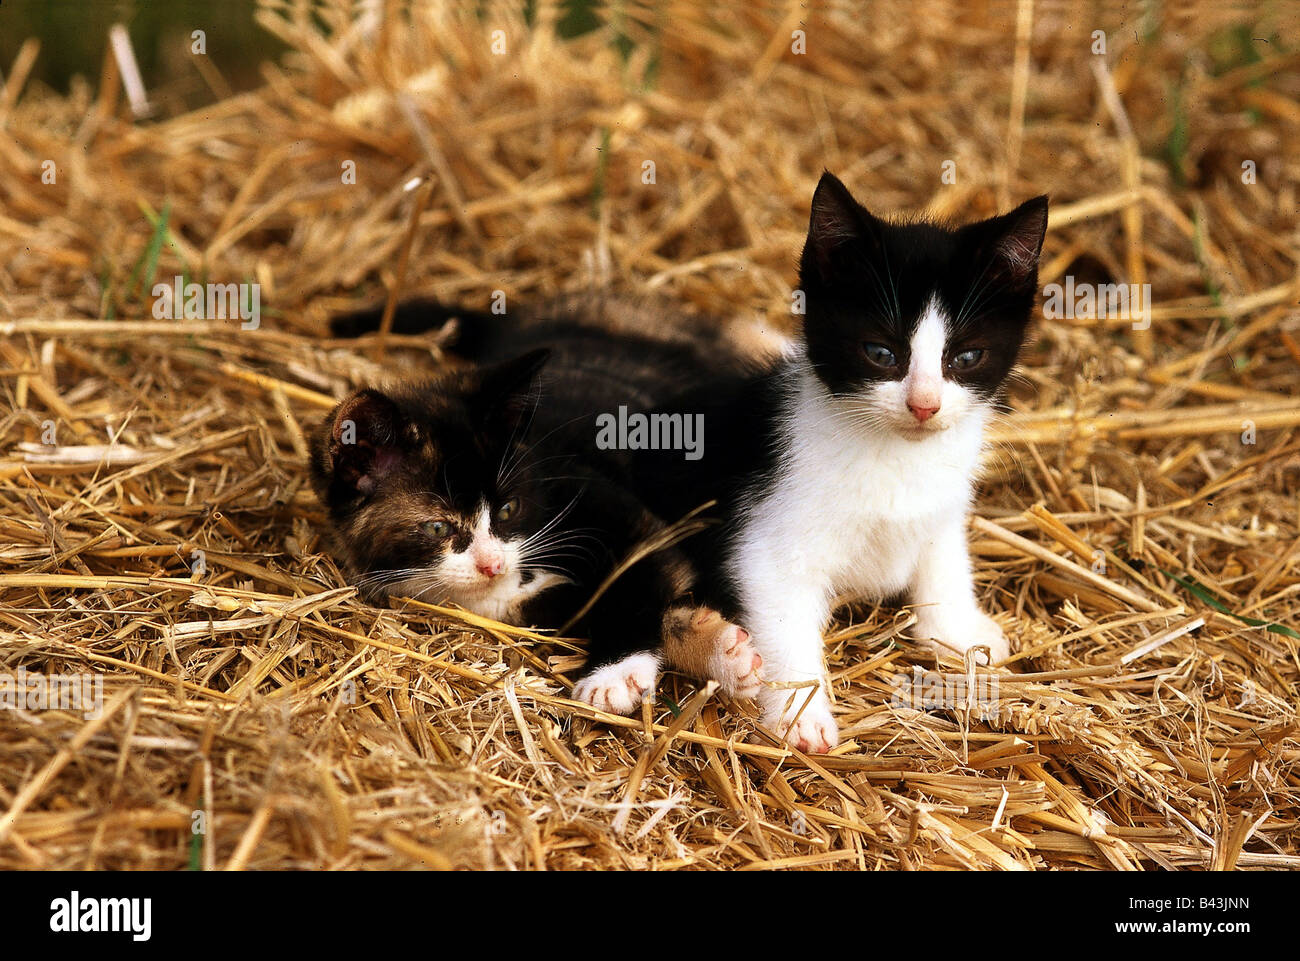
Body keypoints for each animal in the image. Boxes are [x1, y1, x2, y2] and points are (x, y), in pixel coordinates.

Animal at [306, 292, 769, 712]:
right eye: (437, 527)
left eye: (508, 509)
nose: (492, 564)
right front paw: (723, 652)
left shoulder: (618, 509)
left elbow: (638, 580)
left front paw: (616, 674)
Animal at [629, 174, 1045, 759]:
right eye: (880, 352)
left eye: (965, 358)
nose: (924, 405)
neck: (896, 454)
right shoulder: (768, 544)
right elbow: (783, 618)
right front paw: (801, 714)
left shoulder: (942, 502)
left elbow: (943, 556)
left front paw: (958, 628)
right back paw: (725, 655)